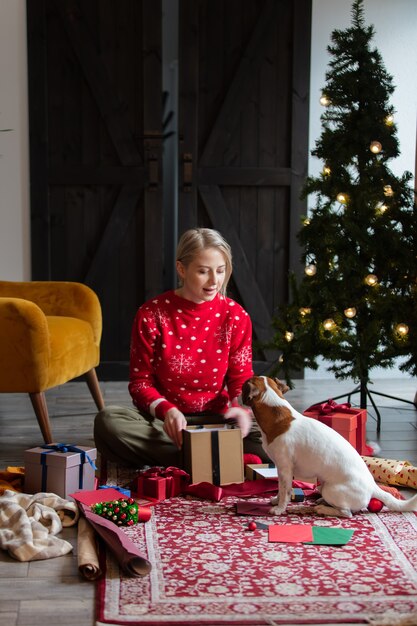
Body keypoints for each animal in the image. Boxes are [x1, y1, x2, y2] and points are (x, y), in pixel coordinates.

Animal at [240, 376, 416, 516]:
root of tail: (373, 487)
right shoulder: (280, 469)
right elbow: (280, 488)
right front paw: (276, 501)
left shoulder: (285, 469)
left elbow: (285, 491)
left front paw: (279, 509)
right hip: (323, 485)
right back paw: (322, 503)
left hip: (330, 489)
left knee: (346, 513)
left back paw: (323, 509)